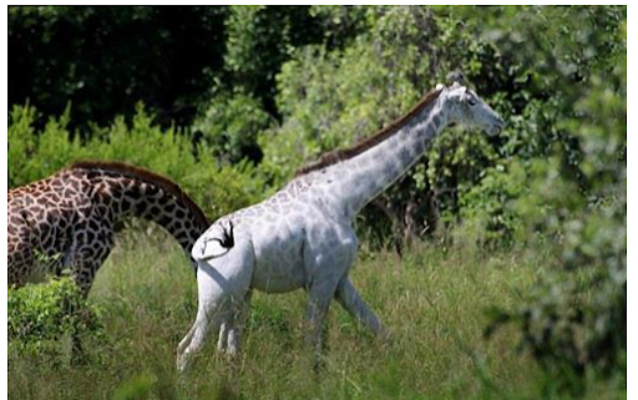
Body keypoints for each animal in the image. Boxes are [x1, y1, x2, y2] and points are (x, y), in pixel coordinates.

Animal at [176, 79, 504, 372]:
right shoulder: (322, 278)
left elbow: (379, 330)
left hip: (239, 297)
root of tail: (199, 249)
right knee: (188, 349)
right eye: (471, 101)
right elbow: (311, 347)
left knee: (221, 351)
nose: (499, 122)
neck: (345, 196)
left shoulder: (339, 279)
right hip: (218, 297)